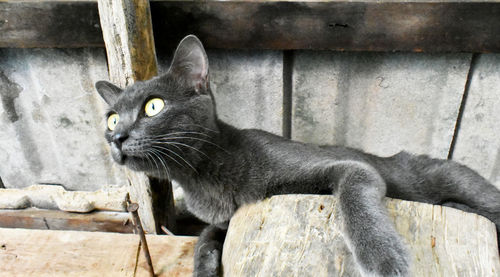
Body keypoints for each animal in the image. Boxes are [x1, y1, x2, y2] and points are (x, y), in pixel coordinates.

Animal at [96, 35, 500, 274]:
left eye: (154, 107)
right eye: (111, 117)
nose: (117, 136)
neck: (199, 177)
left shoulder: (351, 168)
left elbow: (355, 197)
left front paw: (385, 260)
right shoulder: (227, 218)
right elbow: (205, 236)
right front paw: (205, 266)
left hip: (454, 179)